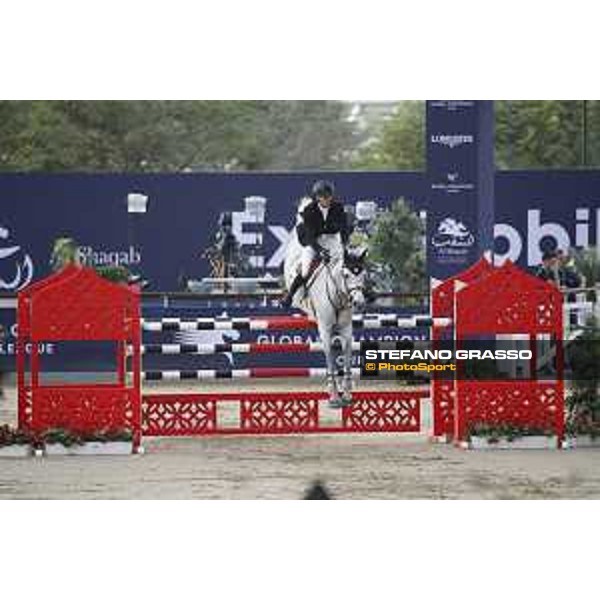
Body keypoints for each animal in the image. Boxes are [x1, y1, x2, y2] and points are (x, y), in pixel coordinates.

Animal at [283, 220, 368, 408]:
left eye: (363, 274)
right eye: (346, 275)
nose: (359, 302)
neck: (338, 293)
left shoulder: (346, 329)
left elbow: (347, 355)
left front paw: (347, 394)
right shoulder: (325, 329)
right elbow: (330, 359)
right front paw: (334, 396)